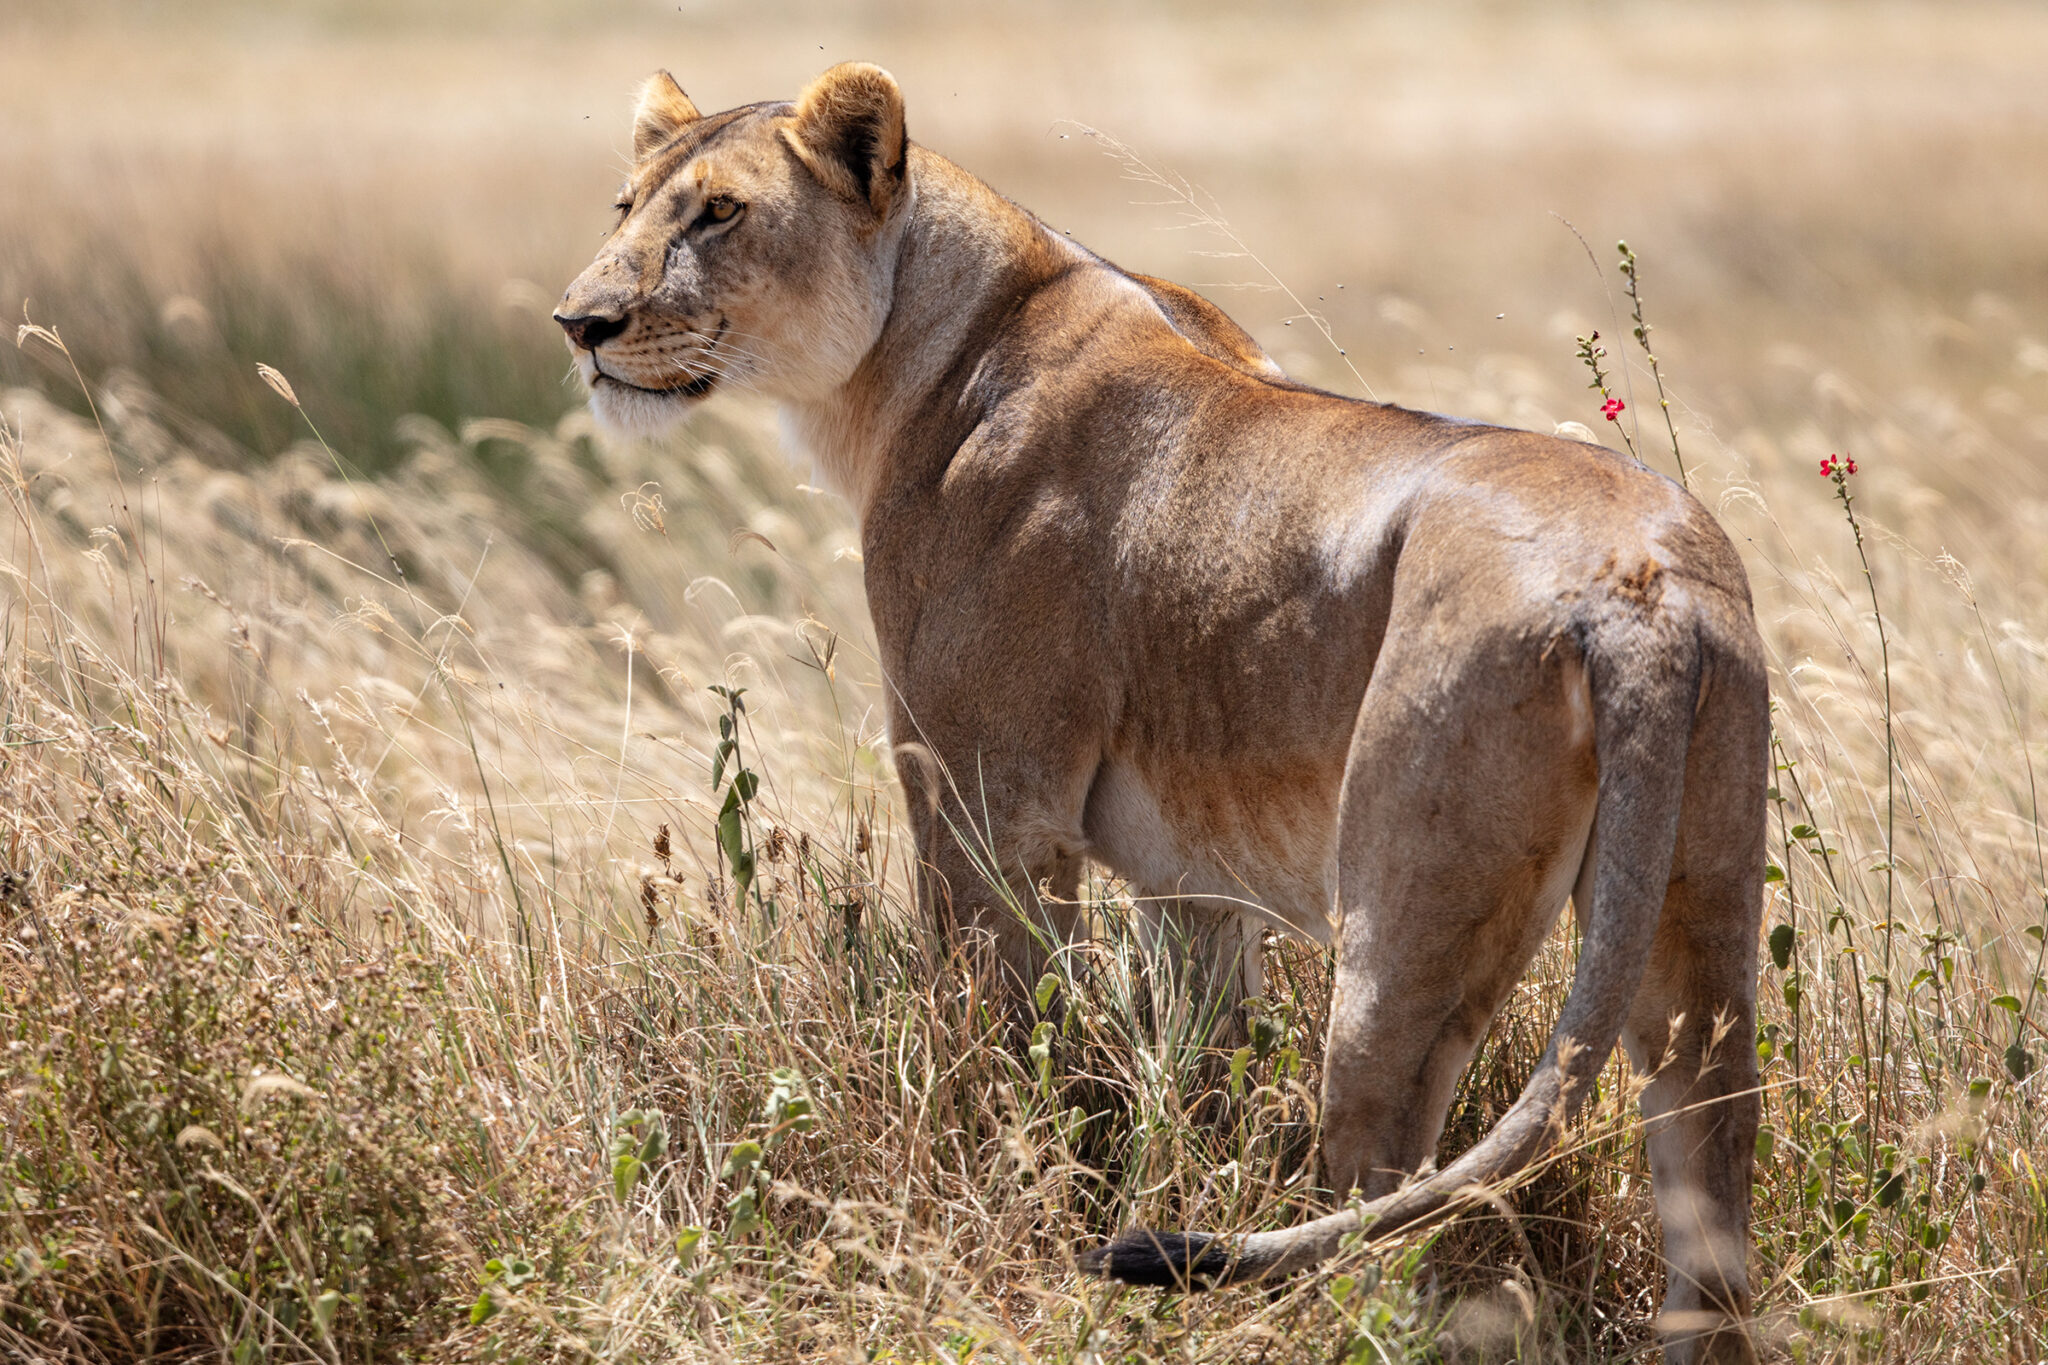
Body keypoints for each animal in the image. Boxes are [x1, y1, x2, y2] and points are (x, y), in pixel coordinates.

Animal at [556, 63, 1766, 1363]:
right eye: (624, 206)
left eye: (719, 214)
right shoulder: (1192, 884)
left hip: (1405, 919)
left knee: (1379, 1193)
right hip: (1695, 920)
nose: (580, 325)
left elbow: (990, 1035)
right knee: (1706, 1158)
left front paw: (989, 1199)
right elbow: (1199, 1072)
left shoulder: (986, 801)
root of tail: (1635, 589)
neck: (916, 353)